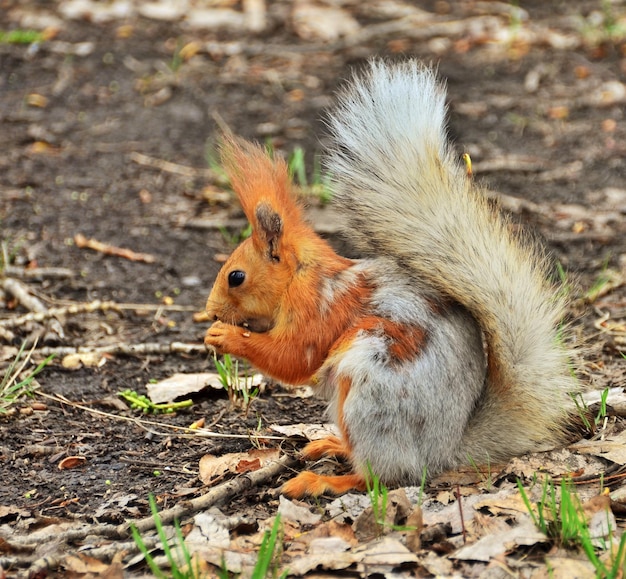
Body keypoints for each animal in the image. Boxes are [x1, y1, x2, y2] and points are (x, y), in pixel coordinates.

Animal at [204, 61, 576, 500]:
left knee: (383, 477)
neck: (301, 276)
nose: (209, 311)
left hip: (369, 396)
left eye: (236, 276)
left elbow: (293, 357)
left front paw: (225, 336)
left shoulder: (318, 308)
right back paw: (331, 444)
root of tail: (443, 450)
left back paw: (324, 479)